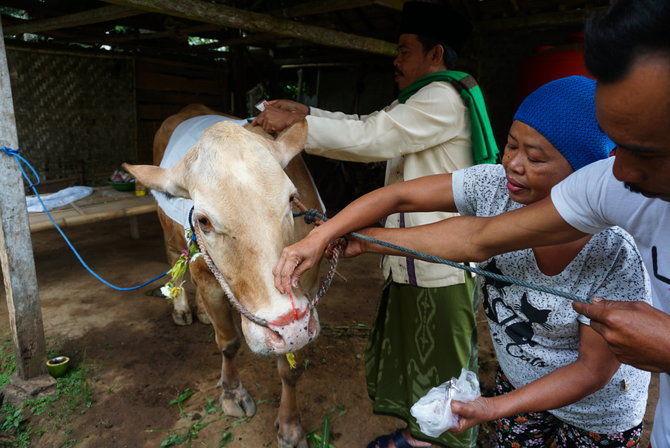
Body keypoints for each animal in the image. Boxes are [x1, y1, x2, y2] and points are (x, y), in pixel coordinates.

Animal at [125, 103, 328, 446]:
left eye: (291, 199)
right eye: (204, 220)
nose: (285, 325)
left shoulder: (308, 292)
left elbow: (291, 368)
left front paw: (290, 426)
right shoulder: (207, 279)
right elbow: (229, 342)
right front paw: (232, 393)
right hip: (171, 236)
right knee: (174, 262)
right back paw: (183, 308)